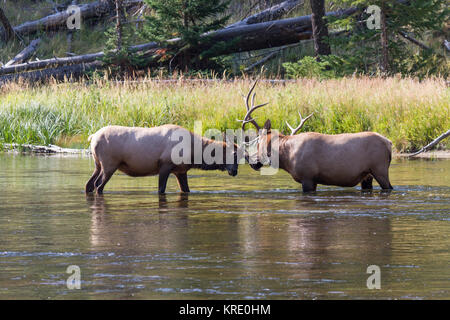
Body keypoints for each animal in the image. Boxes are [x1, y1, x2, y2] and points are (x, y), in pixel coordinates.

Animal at [85, 125, 243, 195]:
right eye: (235, 154)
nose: (235, 171)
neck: (193, 153)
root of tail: (92, 137)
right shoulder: (165, 165)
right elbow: (161, 189)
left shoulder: (181, 171)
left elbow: (186, 190)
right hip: (109, 164)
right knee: (98, 185)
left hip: (97, 164)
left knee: (89, 185)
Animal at [239, 82, 394, 192]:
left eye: (258, 143)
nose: (253, 163)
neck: (286, 158)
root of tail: (389, 143)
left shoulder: (307, 177)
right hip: (367, 176)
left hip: (380, 169)